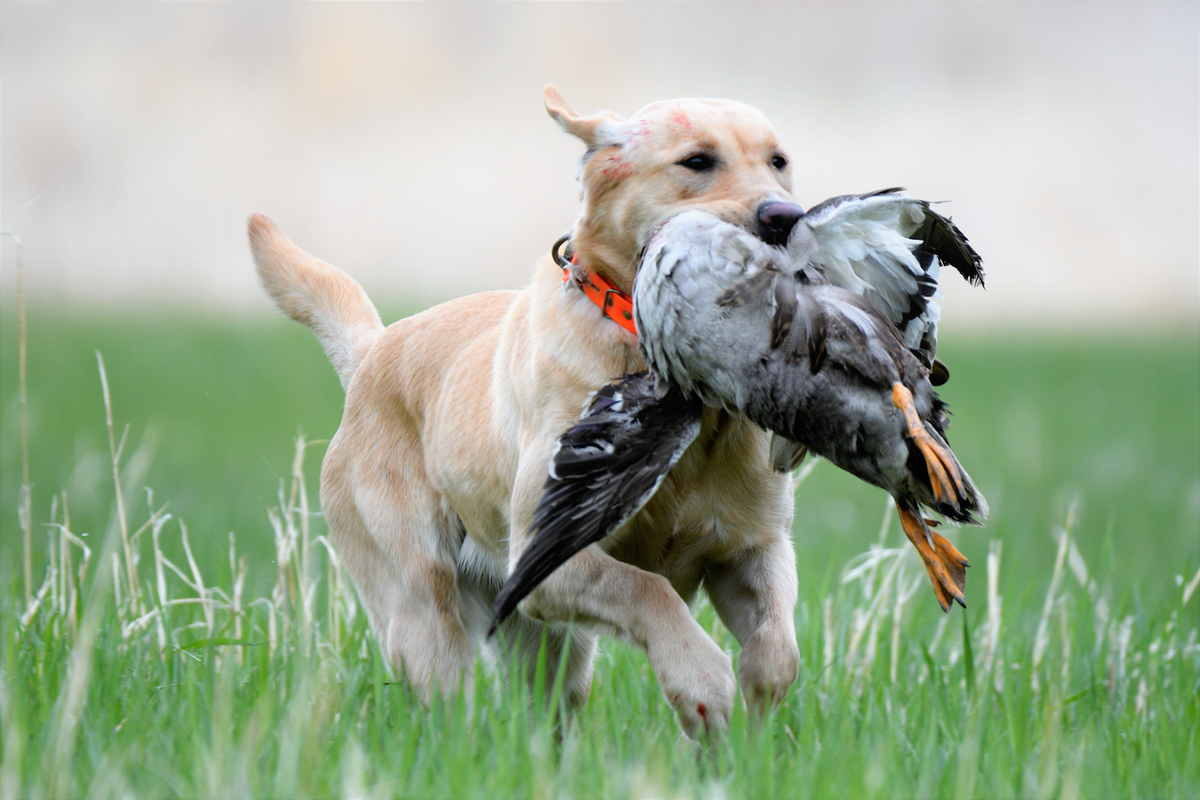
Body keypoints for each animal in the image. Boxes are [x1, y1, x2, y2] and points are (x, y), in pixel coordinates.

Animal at [247, 87, 801, 738]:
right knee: (446, 701)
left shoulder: (753, 549)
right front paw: (701, 682)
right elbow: (649, 591)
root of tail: (369, 355)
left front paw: (755, 728)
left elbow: (779, 651)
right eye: (696, 161)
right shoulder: (547, 564)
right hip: (424, 607)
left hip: (542, 646)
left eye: (779, 162)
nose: (785, 217)